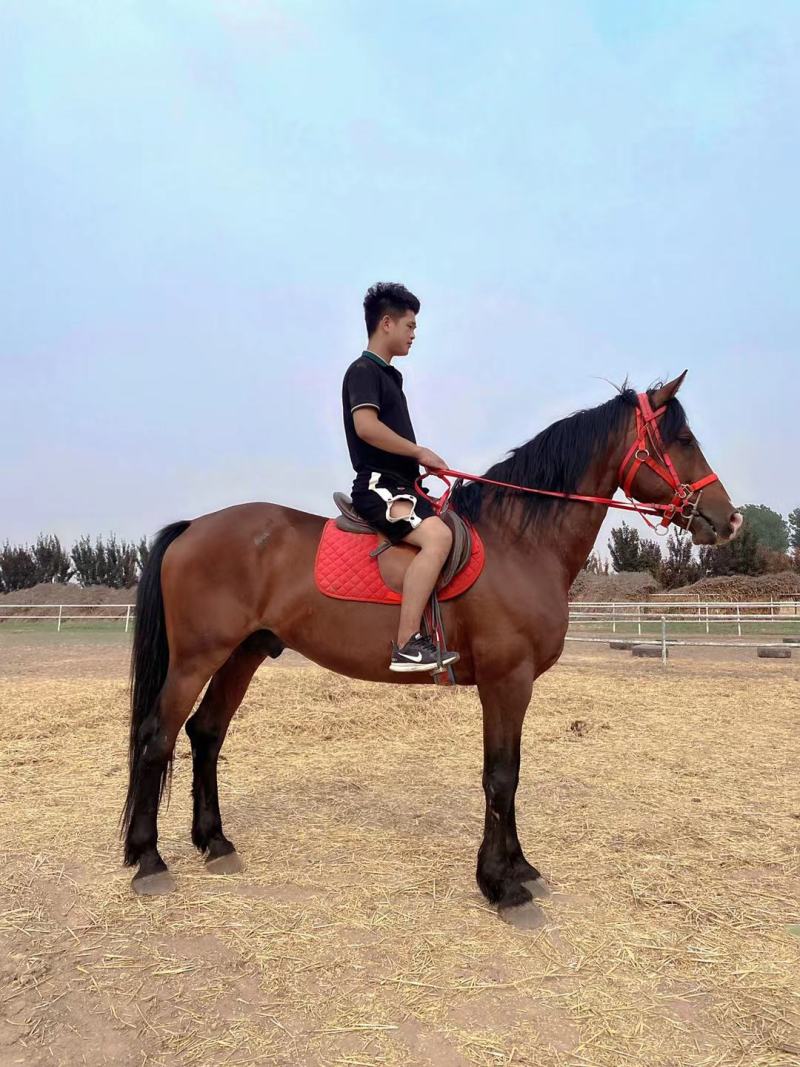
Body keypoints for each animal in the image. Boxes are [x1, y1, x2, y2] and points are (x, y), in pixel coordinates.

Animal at [121, 372, 741, 925]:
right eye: (684, 440)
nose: (728, 518)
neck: (519, 542)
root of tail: (194, 527)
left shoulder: (514, 686)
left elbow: (511, 773)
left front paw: (520, 868)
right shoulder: (506, 681)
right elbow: (501, 777)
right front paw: (502, 887)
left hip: (242, 654)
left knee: (205, 734)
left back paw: (215, 843)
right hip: (197, 658)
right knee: (157, 738)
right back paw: (149, 860)